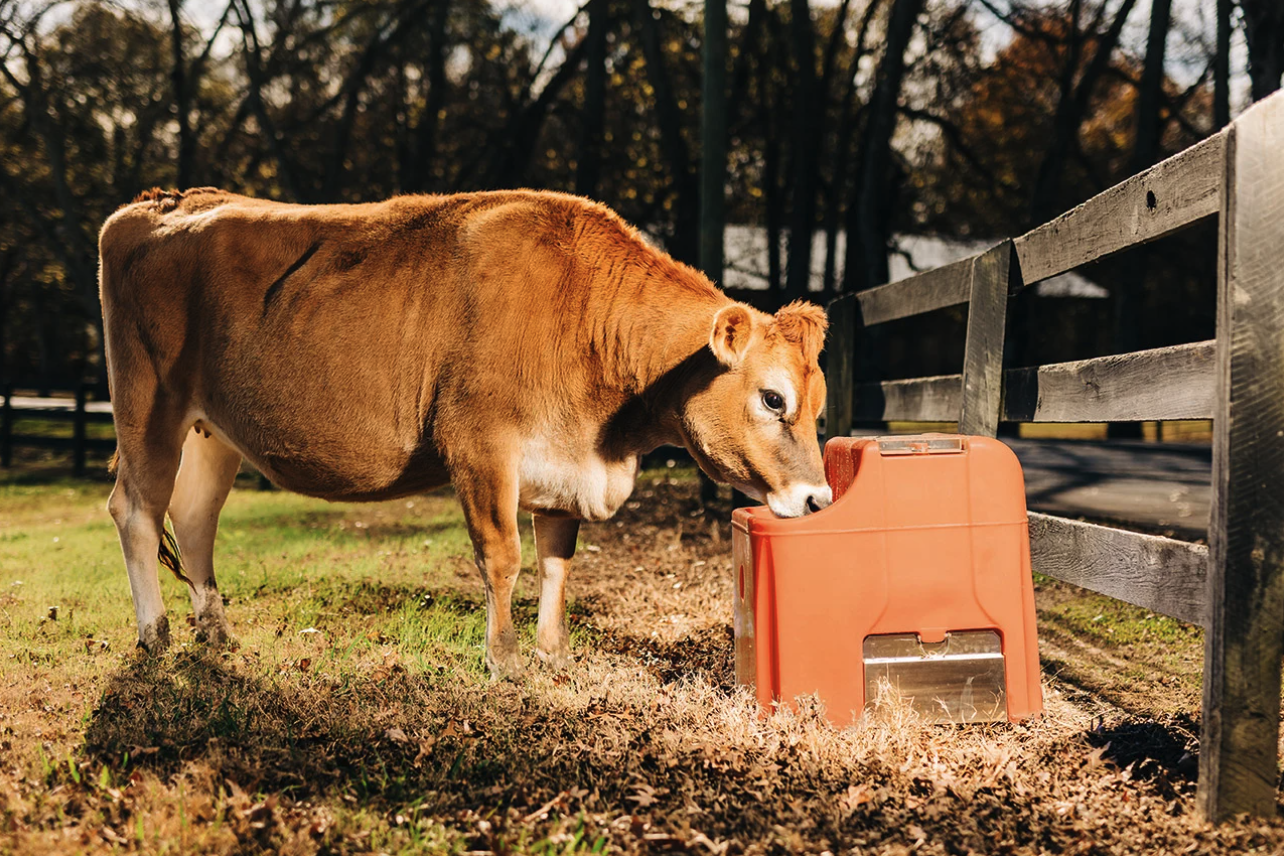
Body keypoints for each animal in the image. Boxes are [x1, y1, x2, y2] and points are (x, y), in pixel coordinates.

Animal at [95, 191, 826, 677]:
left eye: (819, 404)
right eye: (772, 398)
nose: (819, 498)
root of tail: (163, 202)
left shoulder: (565, 466)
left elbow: (557, 560)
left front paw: (553, 654)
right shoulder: (480, 444)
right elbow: (503, 557)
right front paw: (504, 660)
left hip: (210, 432)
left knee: (193, 518)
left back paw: (216, 635)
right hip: (147, 406)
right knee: (137, 512)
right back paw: (155, 635)